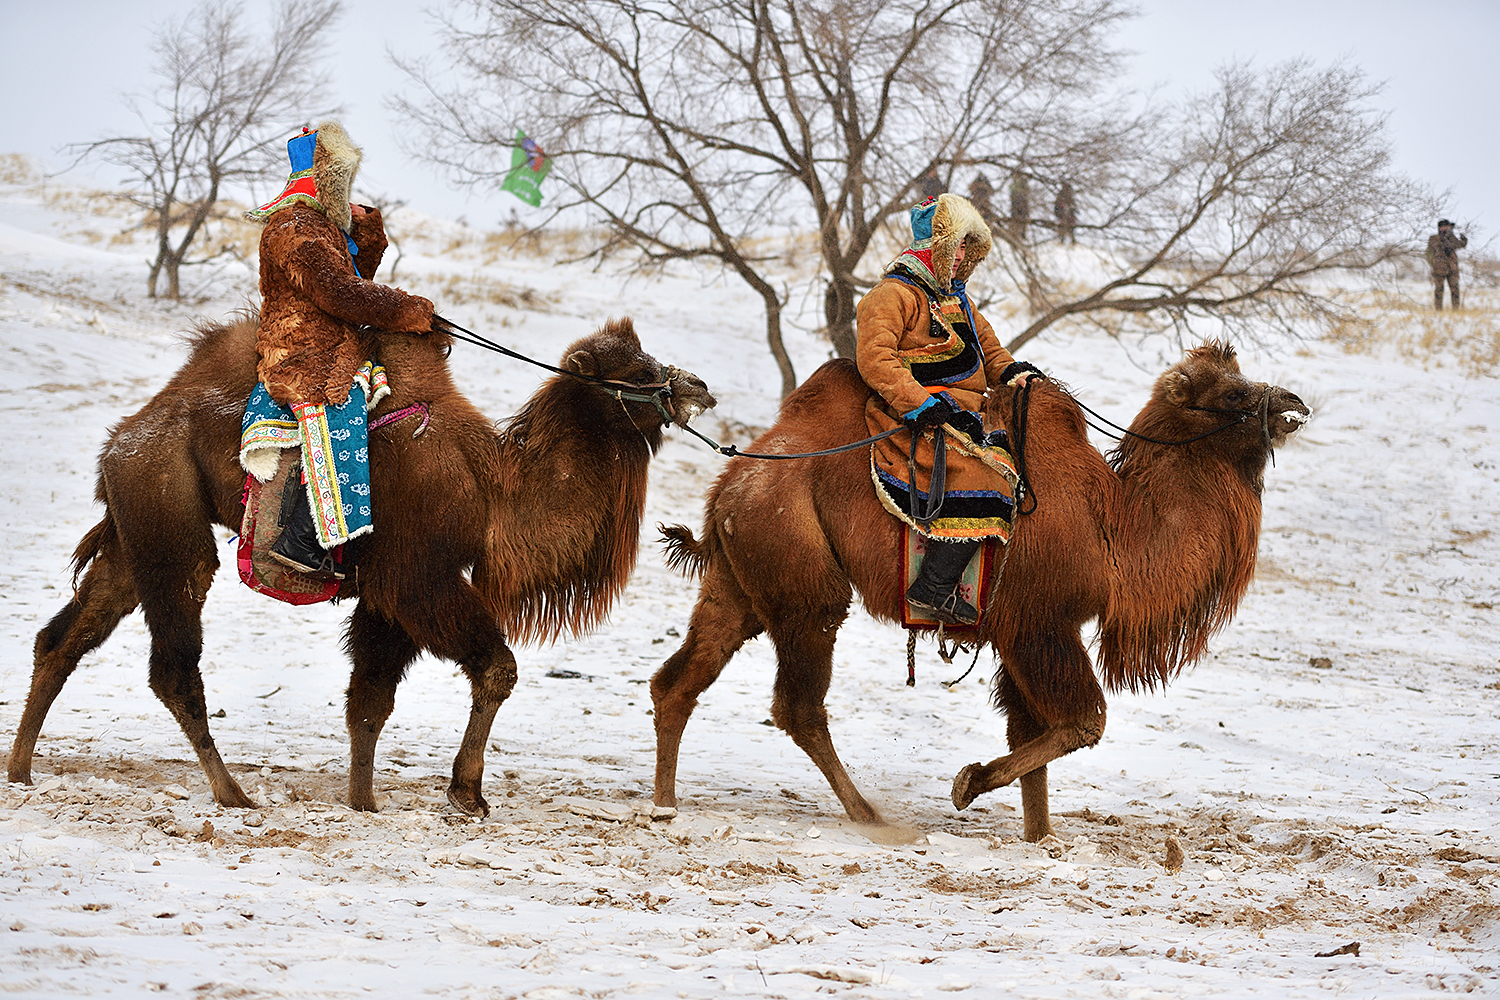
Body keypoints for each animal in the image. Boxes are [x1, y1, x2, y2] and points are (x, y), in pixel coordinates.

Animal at [8, 316, 714, 815]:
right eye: (637, 368)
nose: (699, 386)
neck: (491, 491)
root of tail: (124, 437)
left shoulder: (385, 597)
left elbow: (369, 701)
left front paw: (364, 801)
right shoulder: (420, 579)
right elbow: (496, 670)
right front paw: (467, 793)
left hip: (136, 531)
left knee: (64, 637)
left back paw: (18, 768)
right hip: (169, 519)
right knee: (173, 665)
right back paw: (231, 793)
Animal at [651, 344, 1308, 845]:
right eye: (1233, 396)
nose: (1295, 403)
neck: (1115, 524)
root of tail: (731, 483)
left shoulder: (1022, 636)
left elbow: (1033, 731)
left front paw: (1040, 838)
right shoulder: (1039, 625)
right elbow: (1083, 722)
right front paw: (968, 784)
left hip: (738, 582)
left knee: (680, 679)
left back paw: (664, 804)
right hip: (804, 588)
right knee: (799, 705)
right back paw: (871, 817)